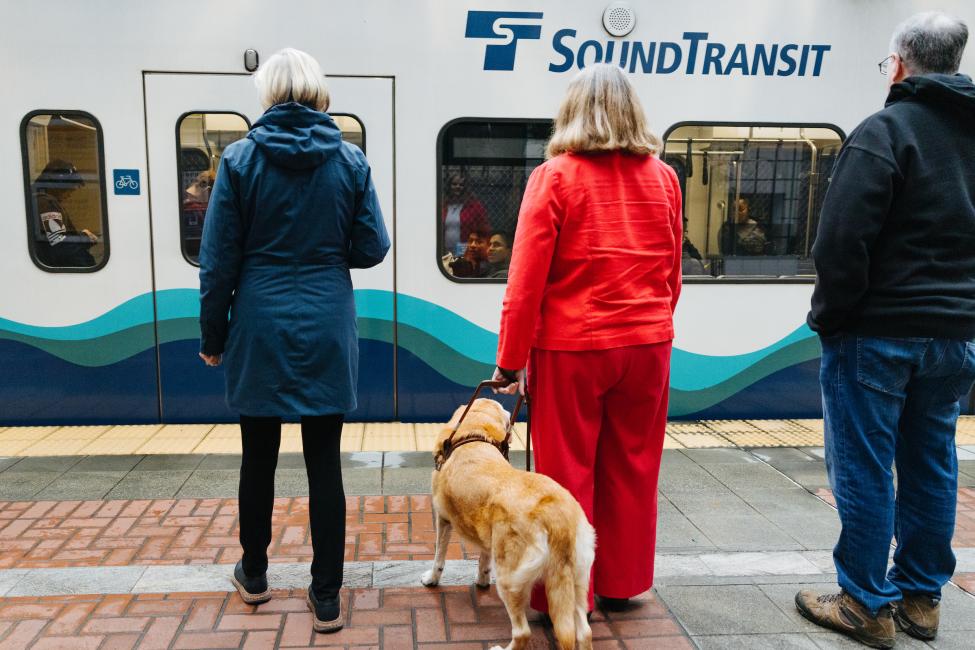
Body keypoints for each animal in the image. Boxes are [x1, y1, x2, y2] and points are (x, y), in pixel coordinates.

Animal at [420, 394, 596, 648]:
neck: (474, 434)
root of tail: (556, 516)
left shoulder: (442, 519)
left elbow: (438, 557)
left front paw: (432, 579)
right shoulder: (486, 531)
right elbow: (484, 558)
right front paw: (482, 579)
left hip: (509, 578)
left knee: (522, 632)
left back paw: (502, 647)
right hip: (579, 576)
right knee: (584, 631)